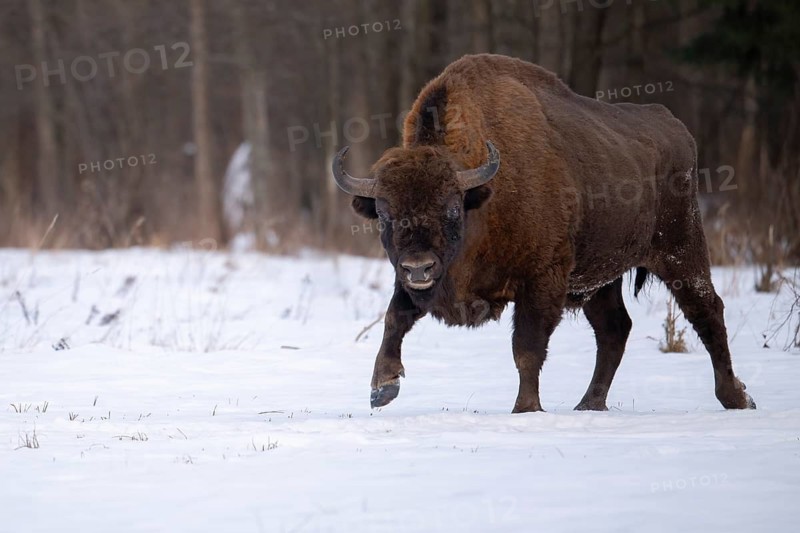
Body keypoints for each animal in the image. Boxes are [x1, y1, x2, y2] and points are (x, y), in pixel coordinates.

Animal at [332, 54, 756, 413]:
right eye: (385, 213)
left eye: (451, 207)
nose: (419, 267)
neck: (483, 196)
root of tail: (675, 128)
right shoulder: (411, 281)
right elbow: (395, 318)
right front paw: (382, 388)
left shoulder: (541, 280)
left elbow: (527, 348)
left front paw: (526, 409)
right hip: (600, 278)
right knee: (614, 329)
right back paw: (589, 404)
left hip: (680, 249)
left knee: (706, 310)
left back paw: (736, 398)